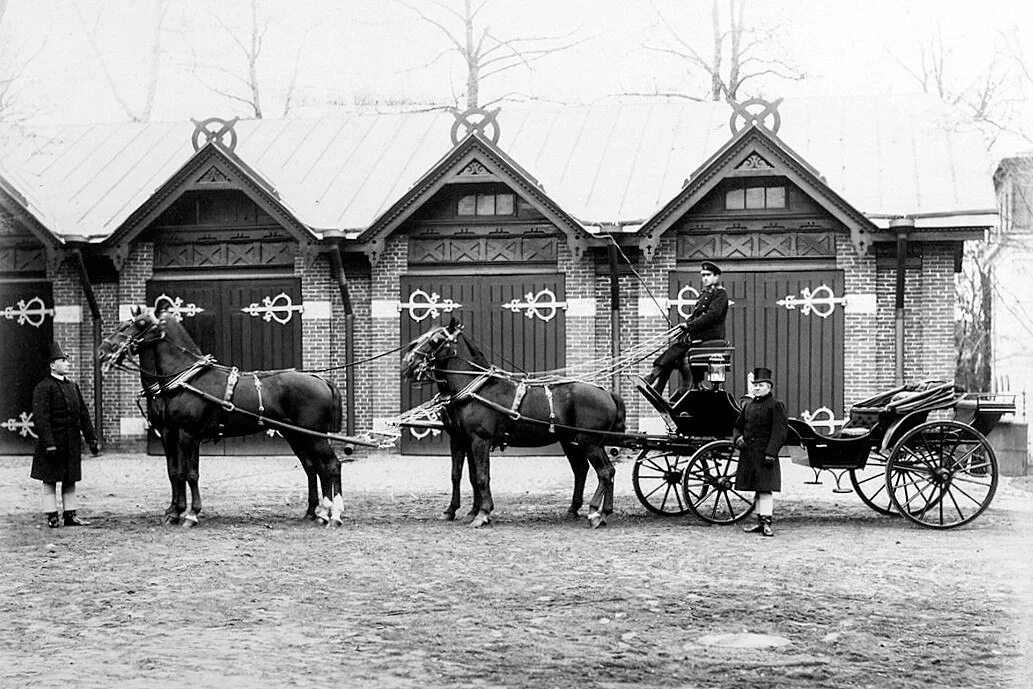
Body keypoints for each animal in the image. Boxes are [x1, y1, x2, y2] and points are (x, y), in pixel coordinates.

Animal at [99, 303, 347, 524]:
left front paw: (190, 513)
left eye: (139, 324)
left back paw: (333, 514)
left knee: (332, 465)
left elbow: (189, 474)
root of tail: (320, 379)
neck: (183, 380)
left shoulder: (188, 434)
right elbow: (174, 472)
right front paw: (173, 511)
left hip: (313, 436)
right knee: (314, 467)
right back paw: (315, 512)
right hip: (296, 435)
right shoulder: (169, 434)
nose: (103, 350)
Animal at [404, 318, 623, 528]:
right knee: (587, 470)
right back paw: (596, 511)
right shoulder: (460, 439)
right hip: (572, 441)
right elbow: (461, 475)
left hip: (590, 442)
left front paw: (483, 514)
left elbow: (482, 476)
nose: (408, 363)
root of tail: (606, 392)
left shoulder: (480, 440)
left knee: (605, 472)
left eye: (435, 340)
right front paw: (457, 511)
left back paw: (595, 512)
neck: (475, 389)